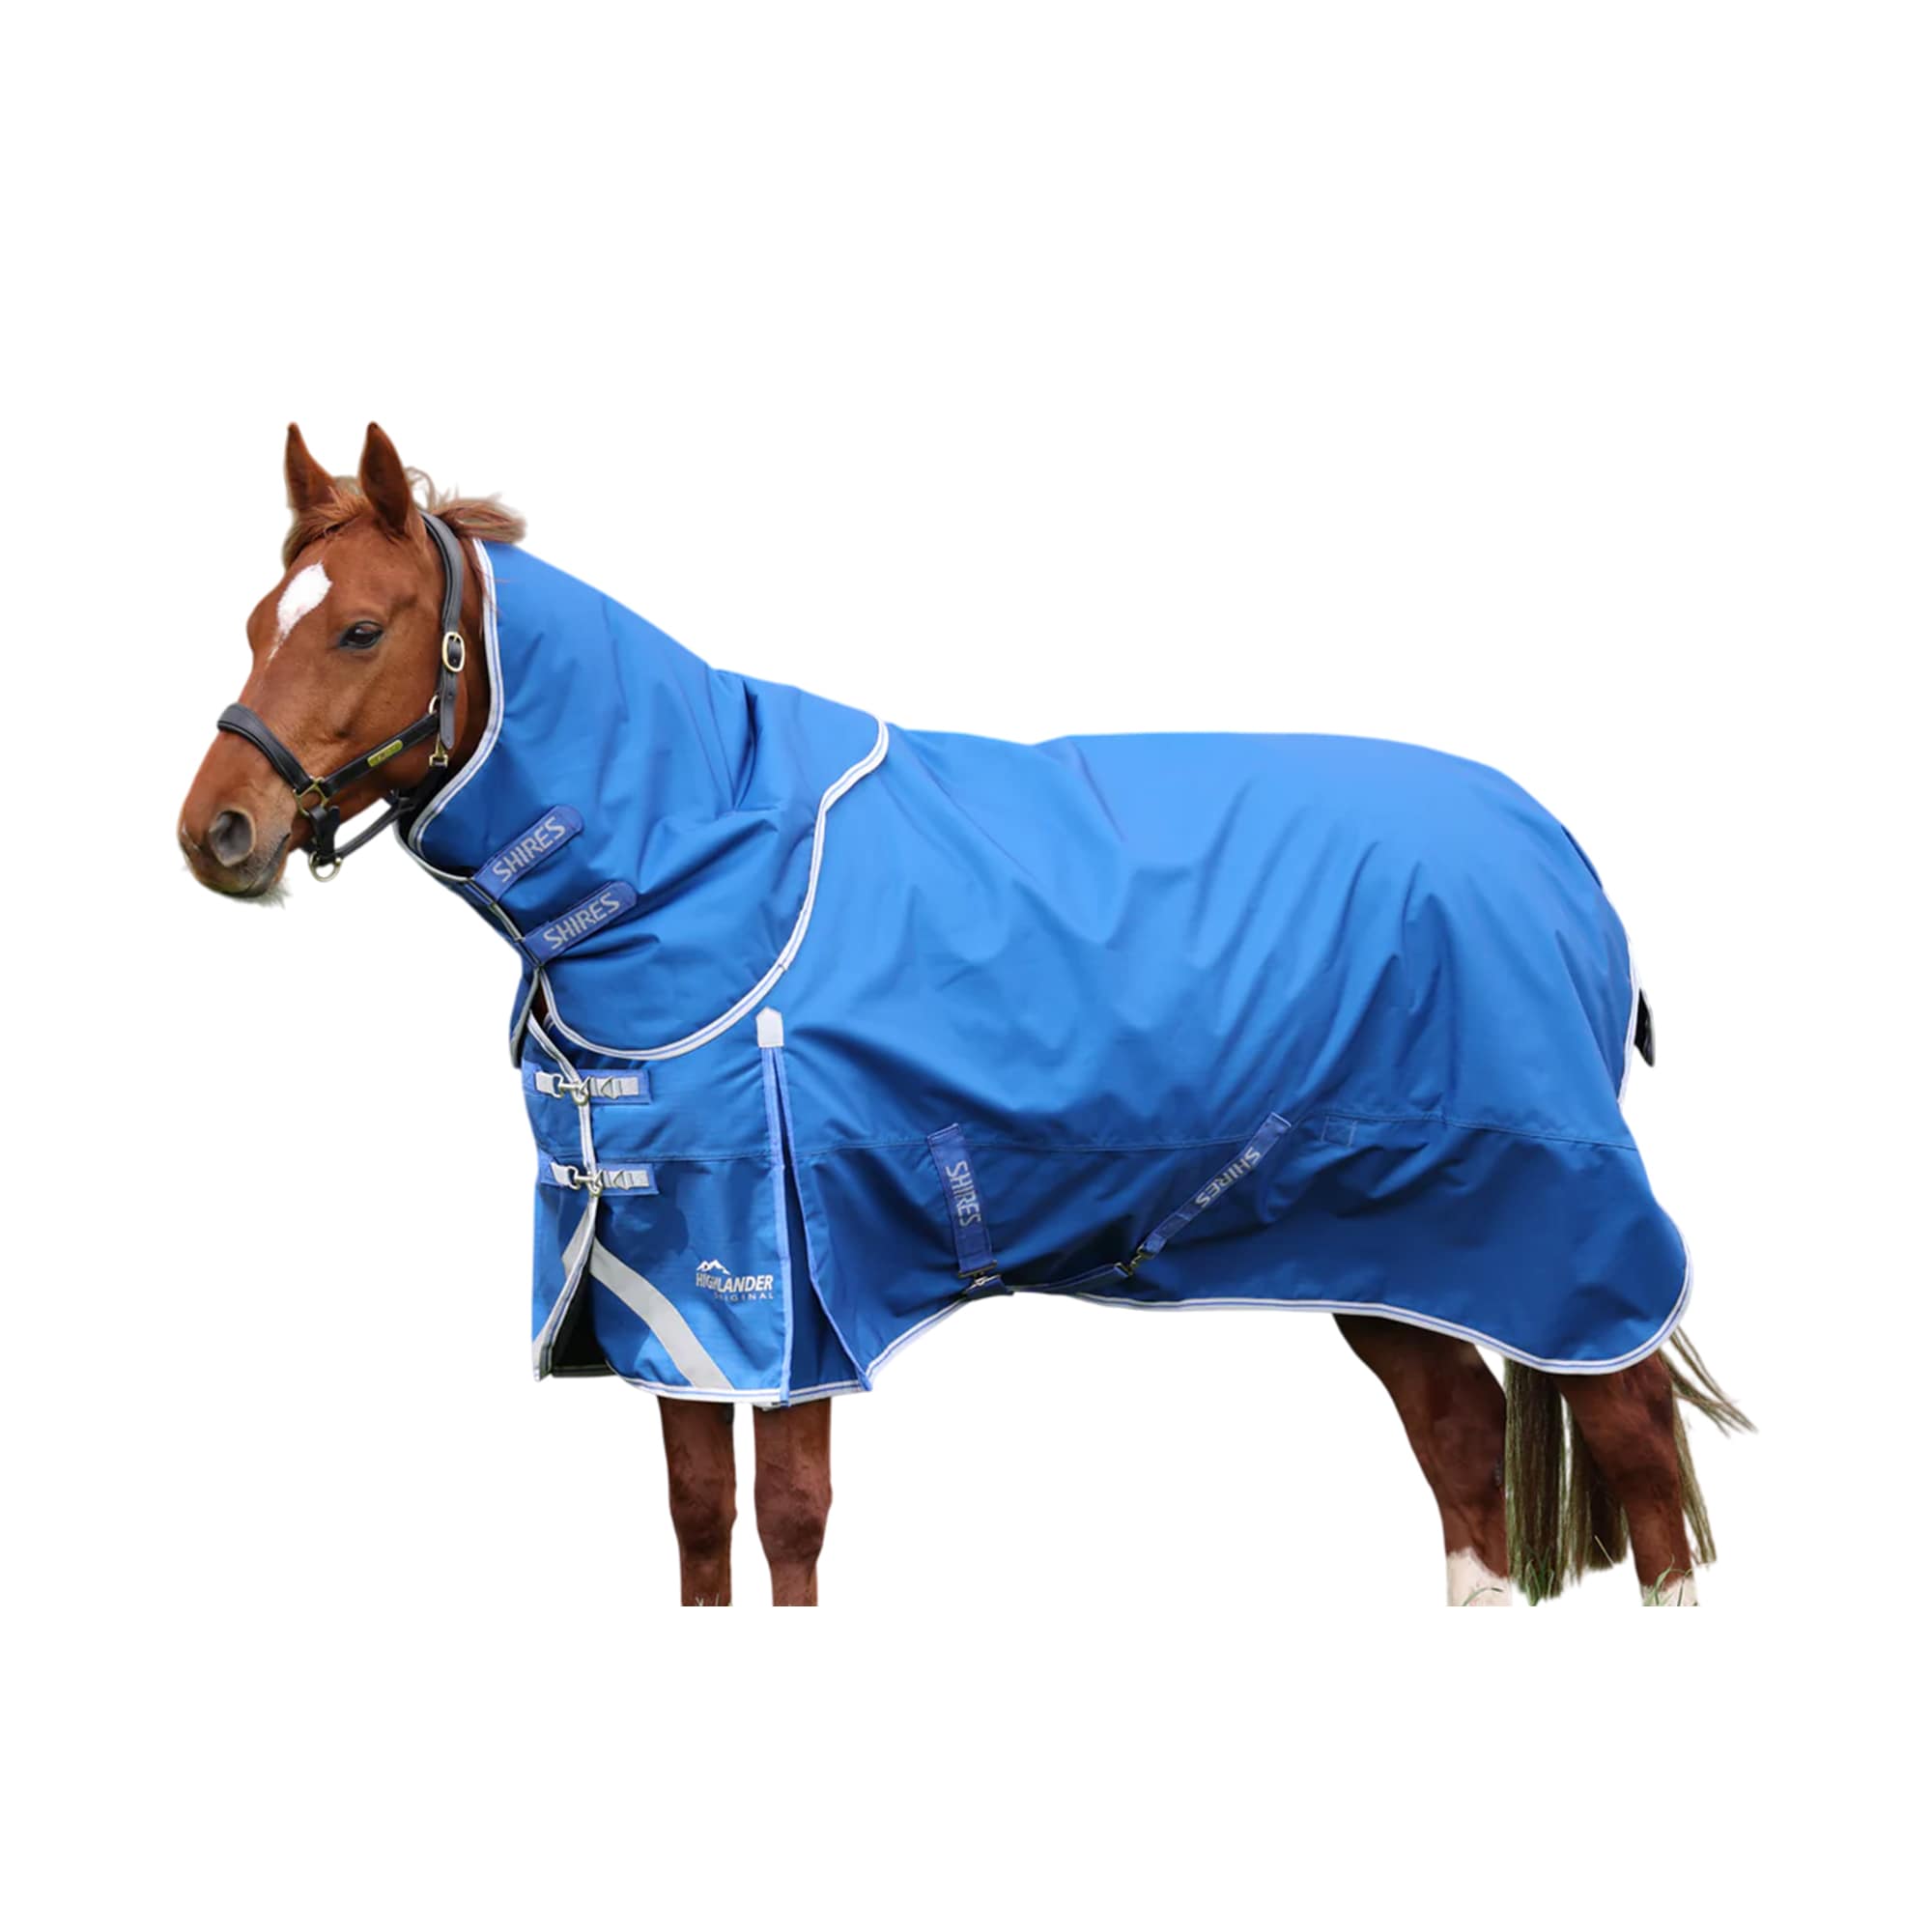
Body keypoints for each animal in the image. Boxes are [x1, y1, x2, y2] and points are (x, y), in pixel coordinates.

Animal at [179, 422, 1750, 1607]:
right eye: (259, 624)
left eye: (361, 628)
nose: (219, 833)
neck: (698, 856)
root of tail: (1558, 848)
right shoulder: (661, 1270)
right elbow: (698, 1516)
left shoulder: (790, 1275)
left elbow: (789, 1515)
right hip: (1380, 1233)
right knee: (1459, 1438)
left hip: (1551, 1218)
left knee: (1633, 1440)